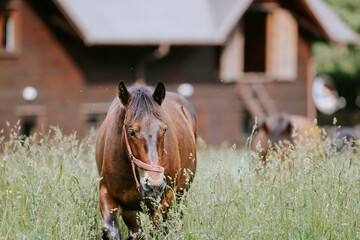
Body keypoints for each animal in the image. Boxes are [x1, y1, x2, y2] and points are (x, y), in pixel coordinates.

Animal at [95, 81, 197, 239]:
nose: (154, 184)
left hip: (181, 195)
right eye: (131, 131)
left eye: (165, 129)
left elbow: (158, 229)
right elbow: (113, 230)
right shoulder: (109, 195)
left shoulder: (165, 199)